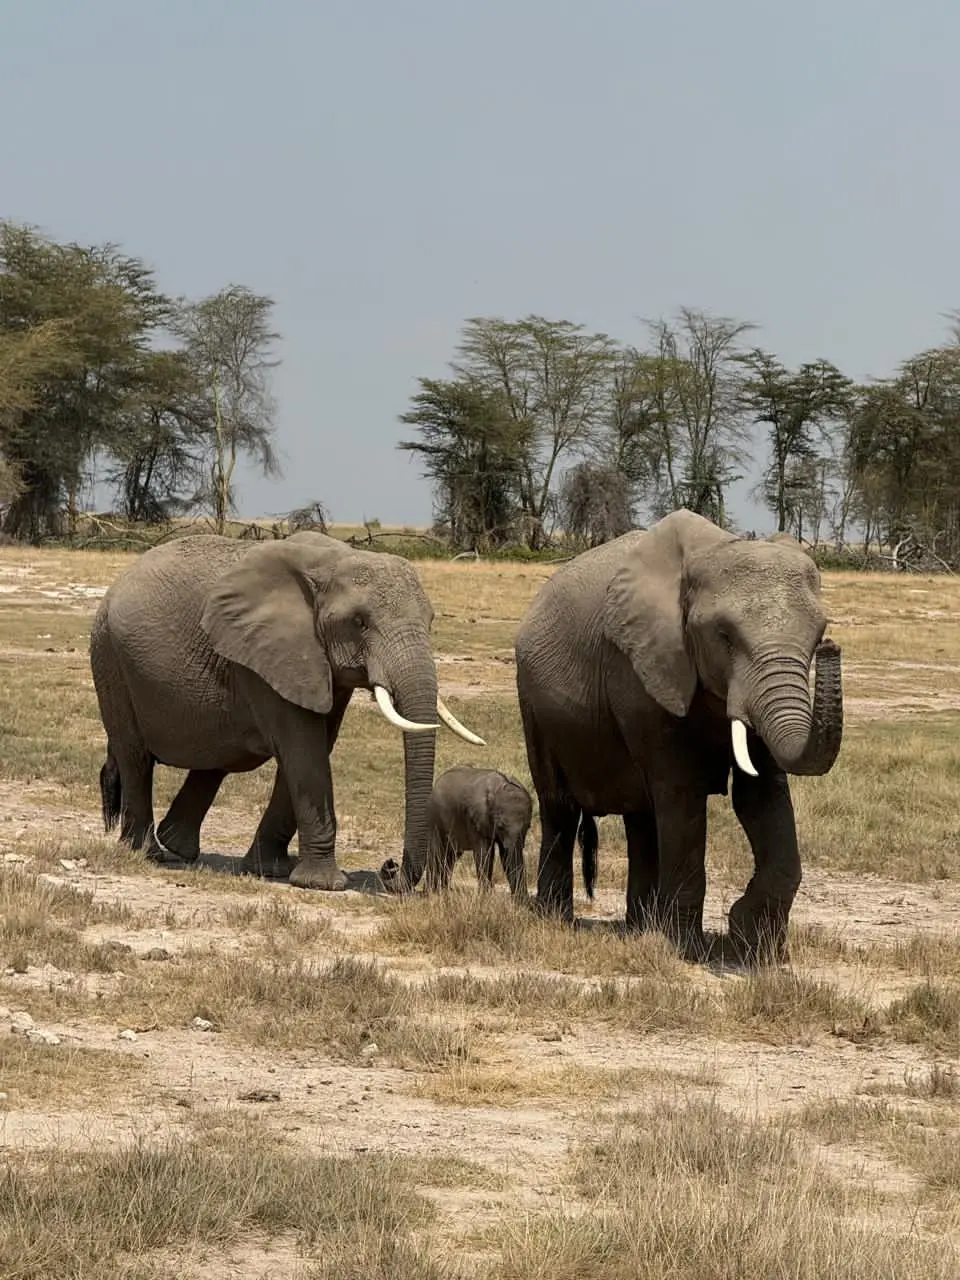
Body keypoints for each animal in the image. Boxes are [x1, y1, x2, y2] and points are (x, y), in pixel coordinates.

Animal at [90, 531, 485, 891]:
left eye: (431, 622)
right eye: (359, 623)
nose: (389, 870)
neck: (333, 561)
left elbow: (315, 746)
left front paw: (271, 870)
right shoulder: (269, 656)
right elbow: (303, 750)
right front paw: (323, 884)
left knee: (214, 760)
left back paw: (179, 848)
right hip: (110, 658)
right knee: (136, 757)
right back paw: (147, 853)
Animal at [421, 766, 532, 898]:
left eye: (527, 827)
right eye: (500, 826)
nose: (520, 897)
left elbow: (506, 855)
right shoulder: (474, 819)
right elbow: (484, 853)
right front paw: (485, 897)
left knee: (451, 856)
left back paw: (442, 892)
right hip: (434, 818)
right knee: (437, 852)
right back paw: (431, 894)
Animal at [513, 509, 843, 962]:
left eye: (817, 635)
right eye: (724, 636)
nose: (832, 648)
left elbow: (761, 795)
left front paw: (755, 947)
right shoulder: (640, 671)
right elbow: (682, 795)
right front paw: (688, 949)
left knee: (641, 816)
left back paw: (640, 928)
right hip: (534, 703)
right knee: (560, 806)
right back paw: (557, 918)